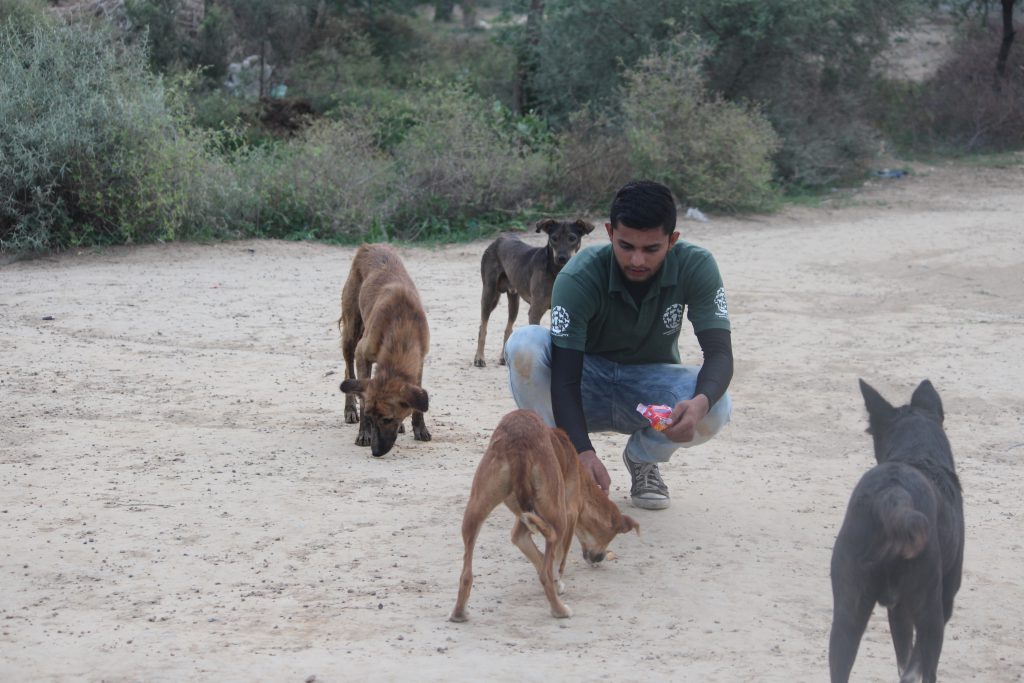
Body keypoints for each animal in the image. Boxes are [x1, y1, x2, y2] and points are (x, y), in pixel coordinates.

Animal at [450, 409, 634, 622]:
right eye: (610, 536)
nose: (600, 558)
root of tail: (519, 443)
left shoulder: (522, 529)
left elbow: (539, 556)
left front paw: (555, 582)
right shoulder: (569, 516)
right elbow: (556, 561)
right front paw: (557, 582)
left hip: (475, 511)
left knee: (466, 574)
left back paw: (459, 613)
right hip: (558, 519)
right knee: (546, 571)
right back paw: (559, 610)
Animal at [471, 219, 593, 368]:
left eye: (572, 238)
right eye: (554, 238)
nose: (562, 258)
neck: (555, 271)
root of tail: (498, 239)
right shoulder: (535, 311)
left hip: (514, 301)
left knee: (508, 329)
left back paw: (504, 358)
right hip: (489, 294)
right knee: (483, 327)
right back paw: (479, 358)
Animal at [827, 378, 962, 683]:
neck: (917, 453)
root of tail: (893, 494)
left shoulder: (897, 611)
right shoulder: (942, 601)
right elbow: (913, 666)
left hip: (847, 613)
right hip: (931, 610)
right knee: (927, 668)